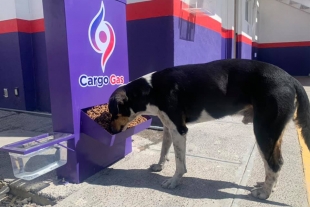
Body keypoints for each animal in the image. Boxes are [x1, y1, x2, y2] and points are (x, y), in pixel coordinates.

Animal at [107, 58, 310, 199]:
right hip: (271, 134)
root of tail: (290, 78)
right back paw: (268, 186)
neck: (152, 89)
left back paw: (265, 194)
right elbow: (164, 149)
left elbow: (180, 163)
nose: (110, 131)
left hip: (264, 131)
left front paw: (174, 181)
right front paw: (160, 165)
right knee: (273, 163)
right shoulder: (168, 126)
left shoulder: (179, 129)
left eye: (113, 113)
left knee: (275, 163)